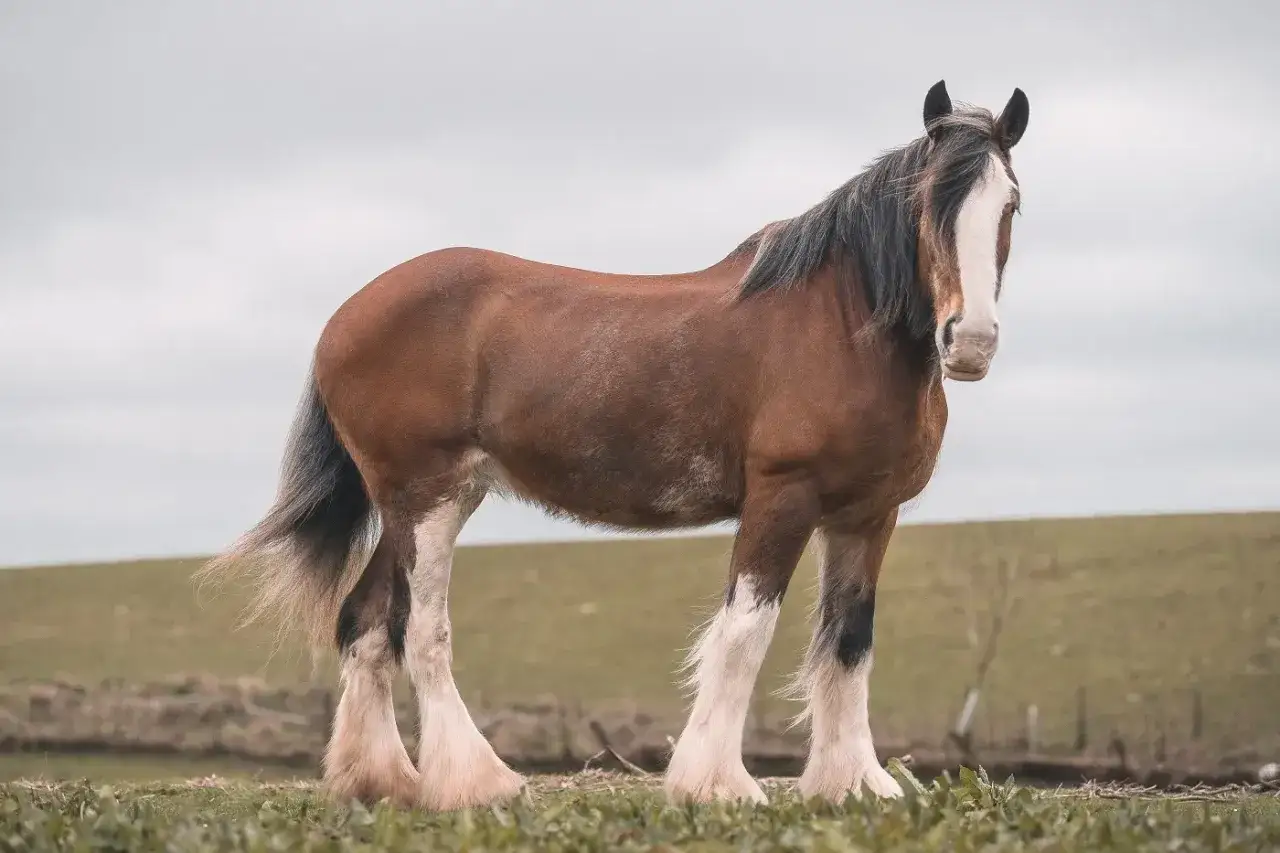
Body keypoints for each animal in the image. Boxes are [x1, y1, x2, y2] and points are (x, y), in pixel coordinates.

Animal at [199, 79, 1030, 812]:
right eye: (929, 200)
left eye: (1010, 203)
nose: (971, 340)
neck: (839, 324)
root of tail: (344, 317)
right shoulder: (782, 498)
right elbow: (744, 634)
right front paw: (717, 784)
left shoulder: (866, 515)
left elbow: (850, 641)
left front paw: (853, 781)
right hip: (426, 498)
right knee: (421, 631)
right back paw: (475, 781)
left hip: (424, 501)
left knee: (366, 622)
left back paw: (382, 780)